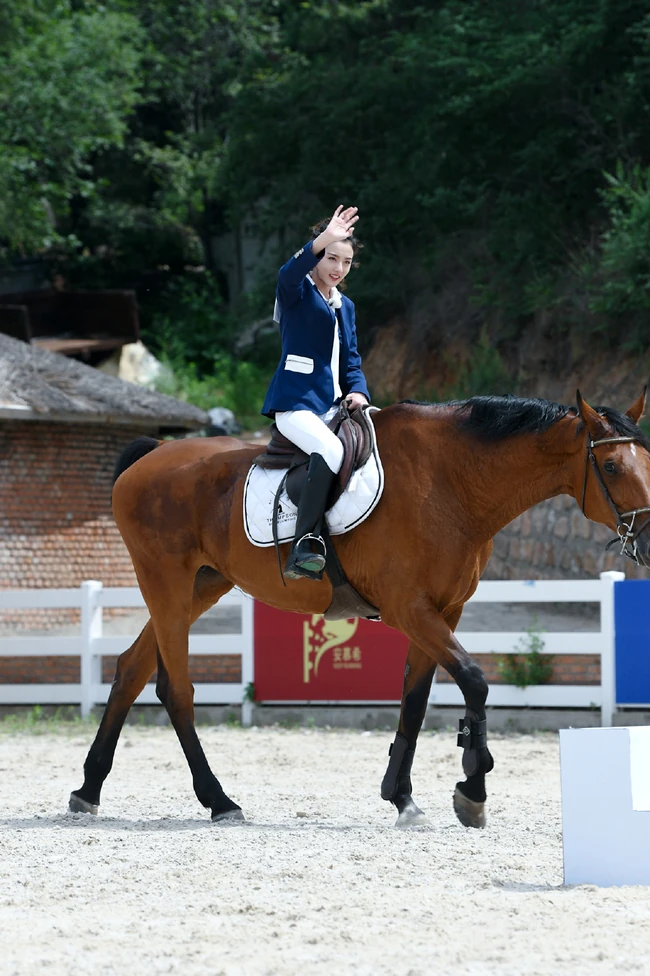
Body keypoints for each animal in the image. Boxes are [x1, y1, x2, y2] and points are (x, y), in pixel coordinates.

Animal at [69, 390, 650, 829]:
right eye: (612, 465)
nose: (647, 538)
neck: (453, 483)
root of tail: (153, 454)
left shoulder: (444, 612)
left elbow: (415, 700)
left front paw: (402, 796)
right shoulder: (410, 609)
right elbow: (474, 680)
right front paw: (472, 787)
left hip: (200, 587)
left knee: (131, 669)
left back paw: (88, 788)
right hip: (166, 584)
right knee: (176, 689)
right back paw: (218, 800)